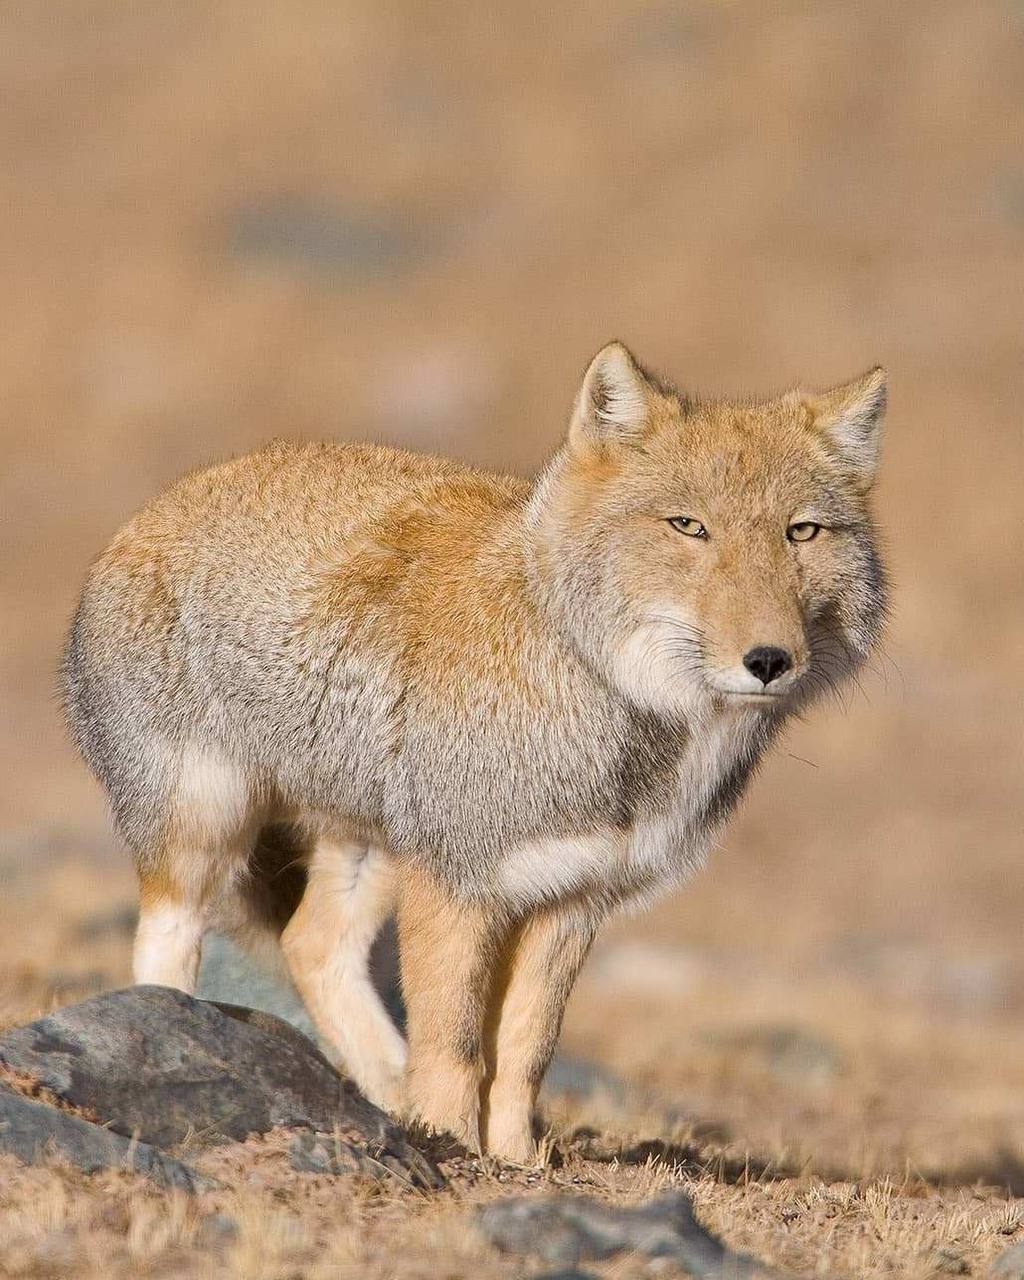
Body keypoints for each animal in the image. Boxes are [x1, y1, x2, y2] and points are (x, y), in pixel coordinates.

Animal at [61, 342, 887, 1164]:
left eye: (802, 532)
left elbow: (524, 1051)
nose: (770, 660)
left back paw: (387, 1091)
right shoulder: (457, 884)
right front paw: (453, 1145)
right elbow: (455, 1044)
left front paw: (515, 1159)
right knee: (165, 947)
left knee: (312, 946)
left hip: (369, 851)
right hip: (205, 833)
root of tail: (154, 509)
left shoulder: (569, 899)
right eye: (689, 527)